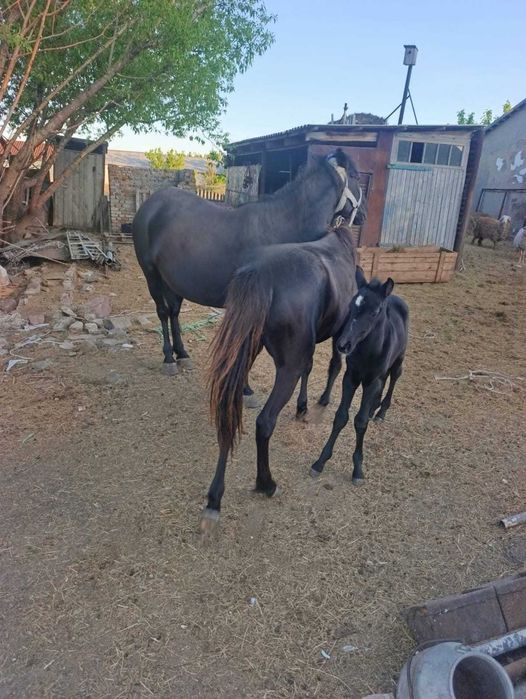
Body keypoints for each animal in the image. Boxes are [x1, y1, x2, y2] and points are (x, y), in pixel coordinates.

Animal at [132, 149, 364, 388]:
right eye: (356, 176)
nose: (363, 215)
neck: (279, 228)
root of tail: (151, 204)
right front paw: (244, 388)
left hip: (173, 281)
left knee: (174, 312)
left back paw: (182, 354)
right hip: (151, 275)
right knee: (162, 312)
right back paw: (169, 358)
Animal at [204, 224, 362, 528]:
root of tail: (261, 275)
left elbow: (310, 366)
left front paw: (302, 406)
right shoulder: (340, 334)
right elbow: (333, 365)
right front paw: (319, 401)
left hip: (243, 358)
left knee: (227, 414)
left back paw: (214, 499)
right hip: (286, 369)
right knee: (264, 422)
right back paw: (266, 483)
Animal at [310, 276, 409, 484]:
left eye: (375, 311)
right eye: (351, 306)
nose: (343, 344)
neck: (367, 353)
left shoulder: (371, 382)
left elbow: (361, 422)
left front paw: (357, 469)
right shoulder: (351, 378)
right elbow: (341, 417)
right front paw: (320, 462)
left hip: (399, 358)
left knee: (394, 377)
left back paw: (381, 412)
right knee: (385, 378)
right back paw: (373, 408)